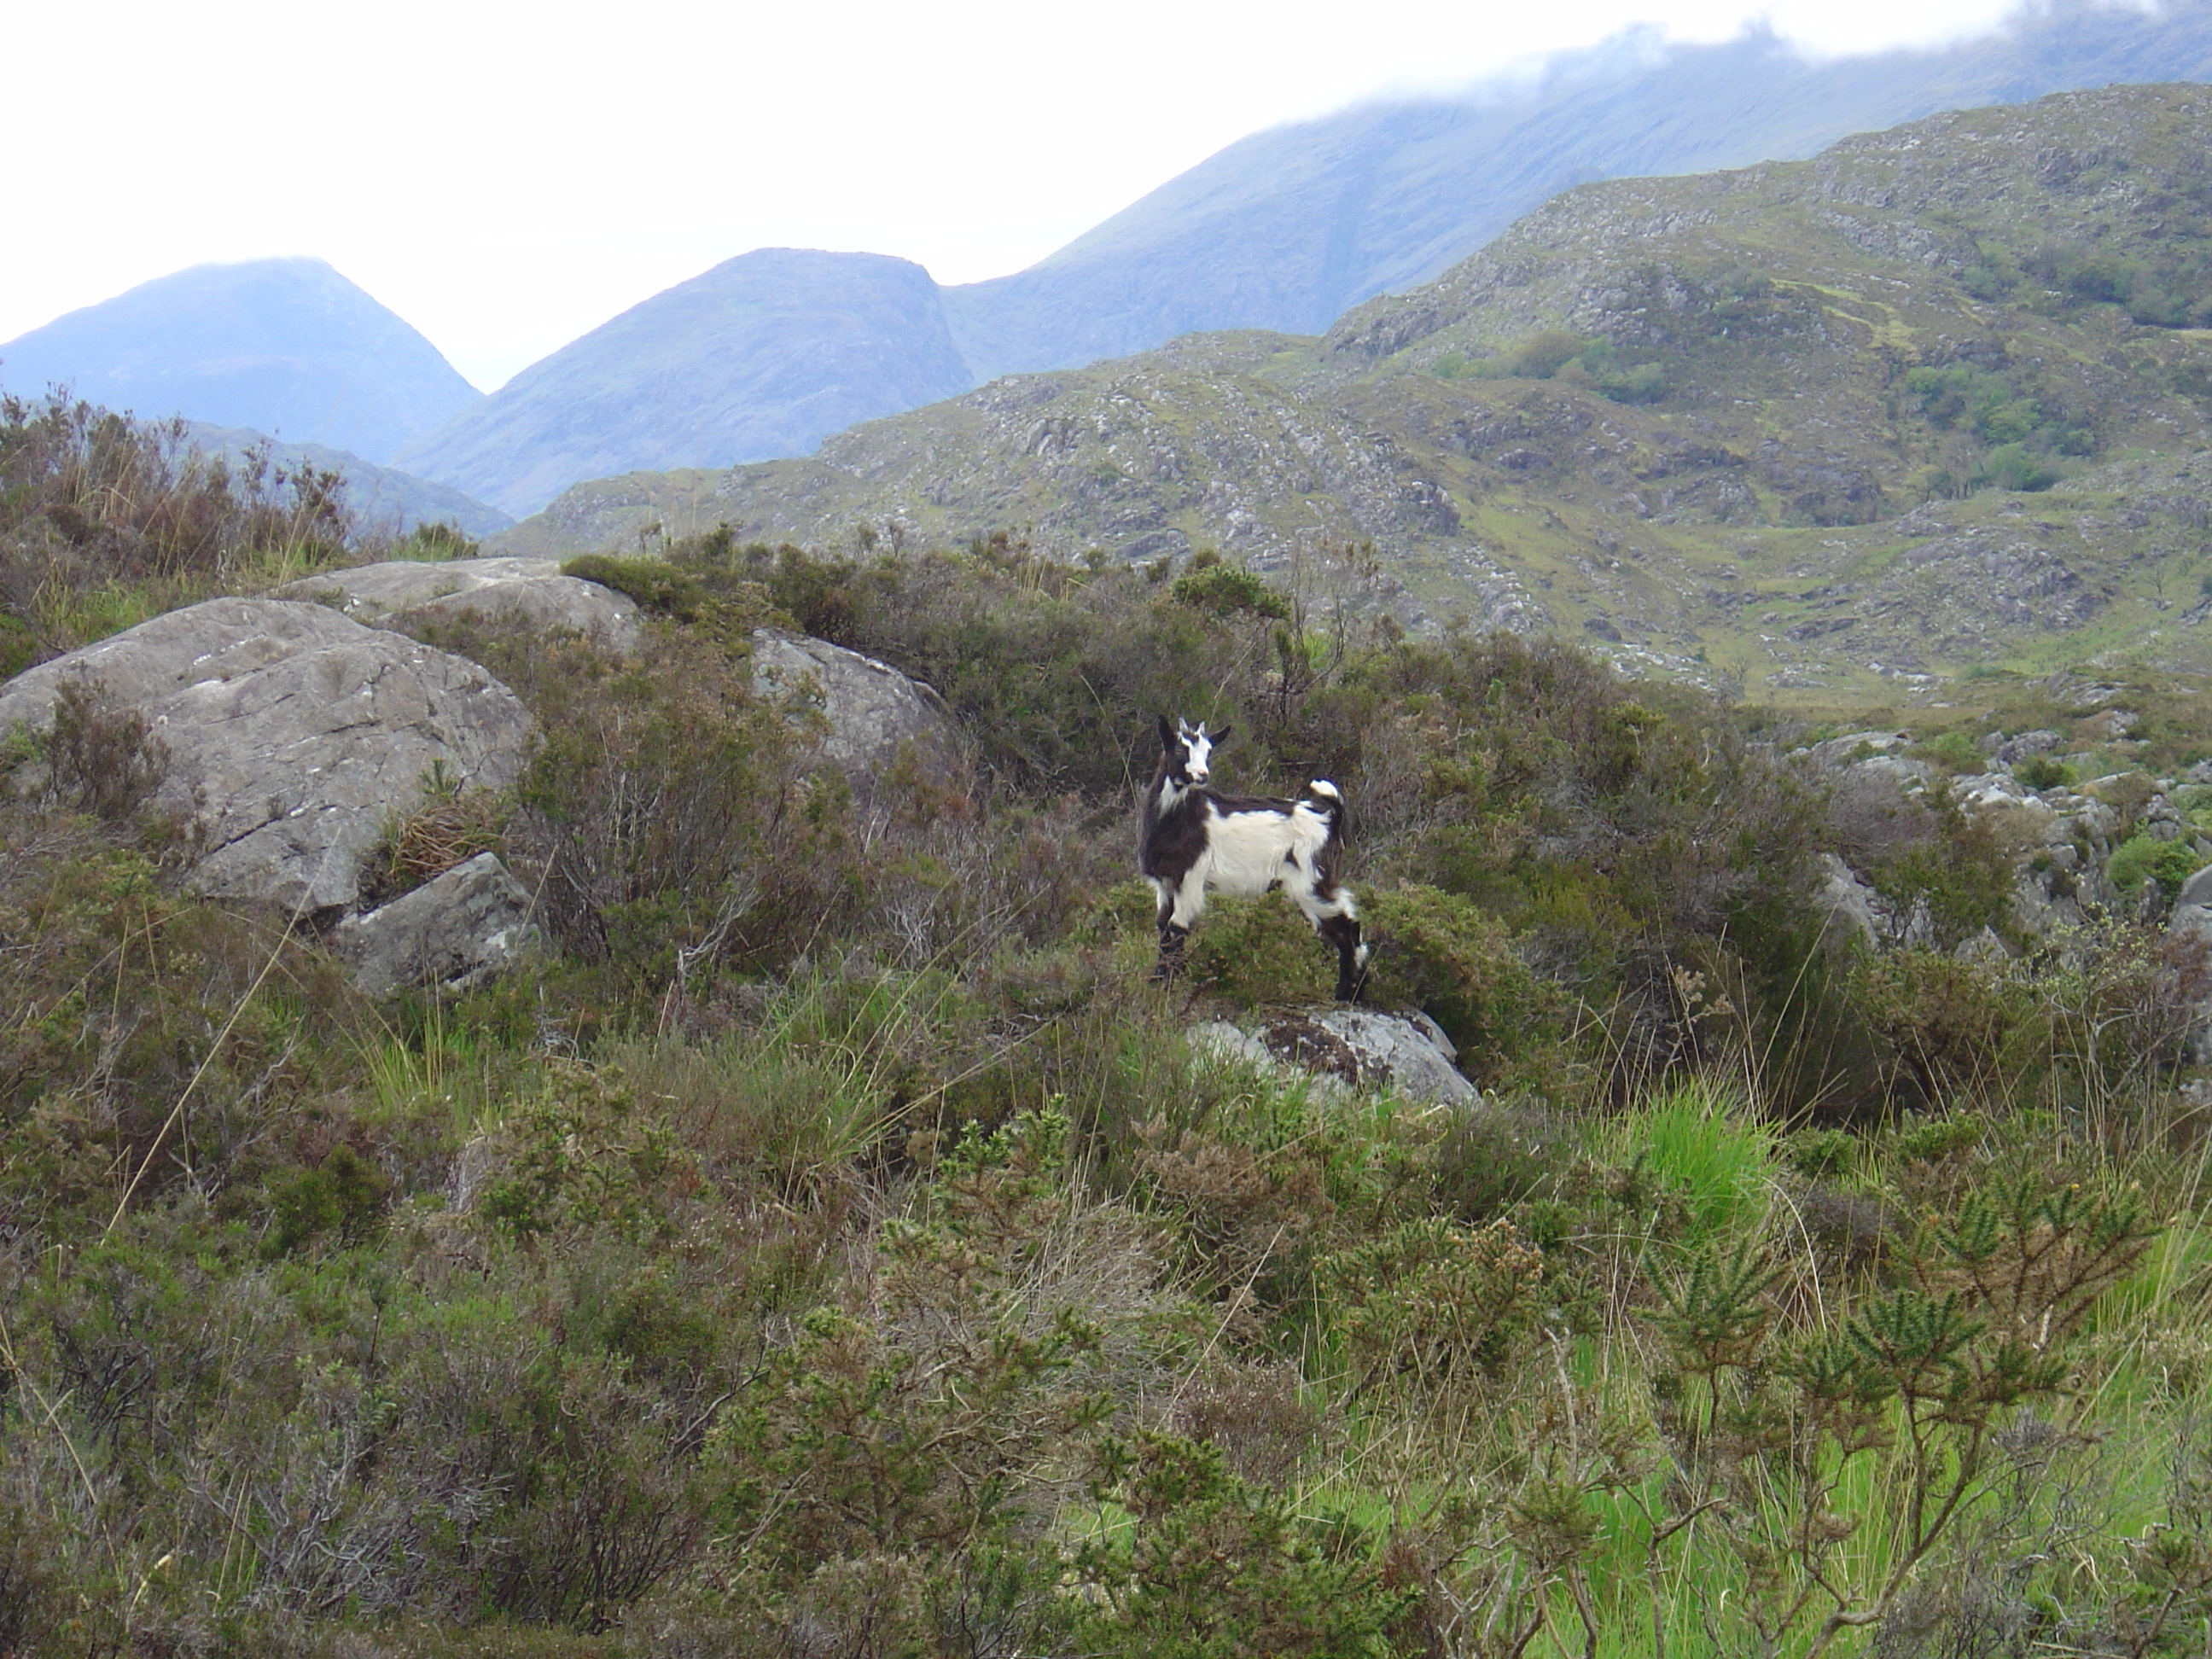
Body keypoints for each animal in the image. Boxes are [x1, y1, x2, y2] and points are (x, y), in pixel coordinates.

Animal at [1141, 716, 1362, 999]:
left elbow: (1177, 927)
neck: (1180, 817)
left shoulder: (1191, 876)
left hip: (1312, 878)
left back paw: (1348, 992)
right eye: (1180, 749)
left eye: (1209, 751)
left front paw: (1169, 985)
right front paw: (1157, 981)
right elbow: (1163, 927)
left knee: (1347, 926)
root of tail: (1332, 817)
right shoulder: (1165, 883)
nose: (1202, 775)